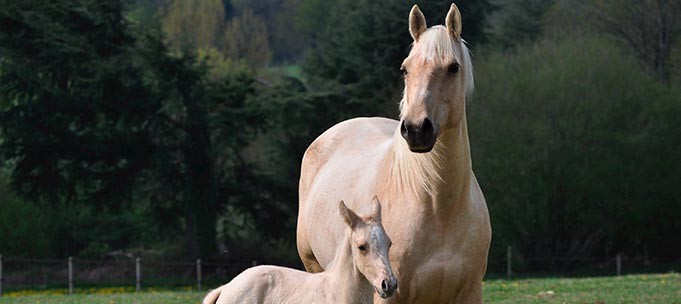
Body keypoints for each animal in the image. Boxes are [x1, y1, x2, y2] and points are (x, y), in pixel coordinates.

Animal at [296, 2, 488, 304]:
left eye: (453, 67)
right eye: (405, 69)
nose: (416, 129)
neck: (437, 206)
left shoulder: (469, 292)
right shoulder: (388, 293)